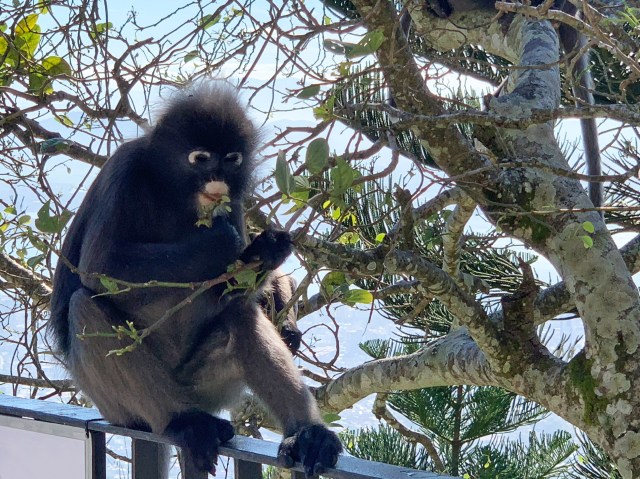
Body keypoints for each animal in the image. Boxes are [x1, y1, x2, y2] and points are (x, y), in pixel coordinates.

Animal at [48, 82, 342, 478]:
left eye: (231, 159)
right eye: (200, 158)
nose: (216, 178)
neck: (174, 193)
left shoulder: (233, 198)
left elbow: (230, 293)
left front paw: (265, 252)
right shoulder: (125, 171)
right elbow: (99, 268)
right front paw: (218, 243)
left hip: (206, 385)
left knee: (240, 315)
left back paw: (308, 435)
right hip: (118, 405)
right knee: (85, 305)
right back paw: (185, 422)